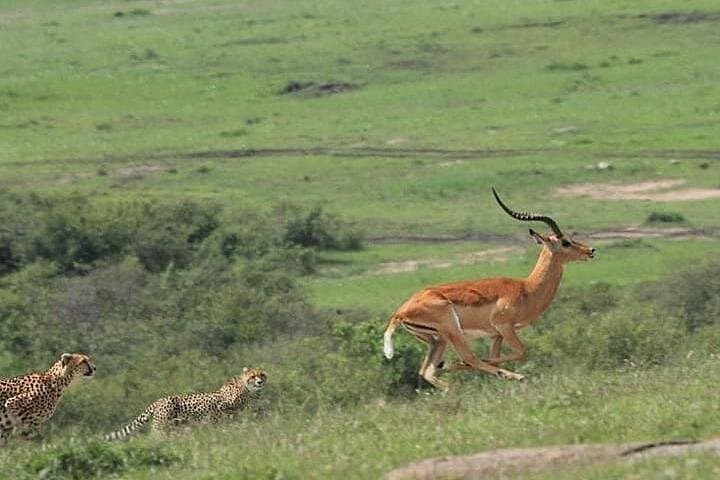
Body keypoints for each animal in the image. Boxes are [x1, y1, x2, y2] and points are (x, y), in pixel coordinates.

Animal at [382, 187, 595, 390]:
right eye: (565, 242)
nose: (591, 251)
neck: (526, 289)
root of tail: (400, 312)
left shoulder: (495, 335)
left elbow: (498, 357)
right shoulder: (504, 327)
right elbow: (520, 351)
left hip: (437, 339)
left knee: (427, 371)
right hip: (452, 329)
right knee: (469, 358)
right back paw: (513, 375)